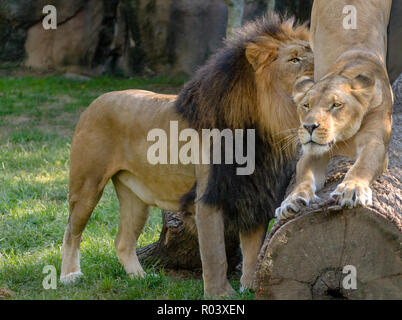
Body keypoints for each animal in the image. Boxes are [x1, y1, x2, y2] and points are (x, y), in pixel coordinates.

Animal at [59, 16, 312, 298]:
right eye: (294, 59)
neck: (264, 128)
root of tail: (96, 100)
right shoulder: (209, 198)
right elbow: (215, 254)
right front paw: (220, 294)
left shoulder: (253, 195)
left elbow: (252, 252)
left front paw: (248, 287)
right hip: (87, 186)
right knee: (71, 231)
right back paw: (70, 276)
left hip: (136, 197)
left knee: (122, 242)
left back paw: (142, 279)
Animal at [276, 0, 392, 219]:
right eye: (306, 105)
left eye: (336, 105)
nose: (309, 127)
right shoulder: (313, 151)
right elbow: (303, 175)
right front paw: (291, 201)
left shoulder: (375, 142)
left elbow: (363, 164)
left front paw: (352, 189)